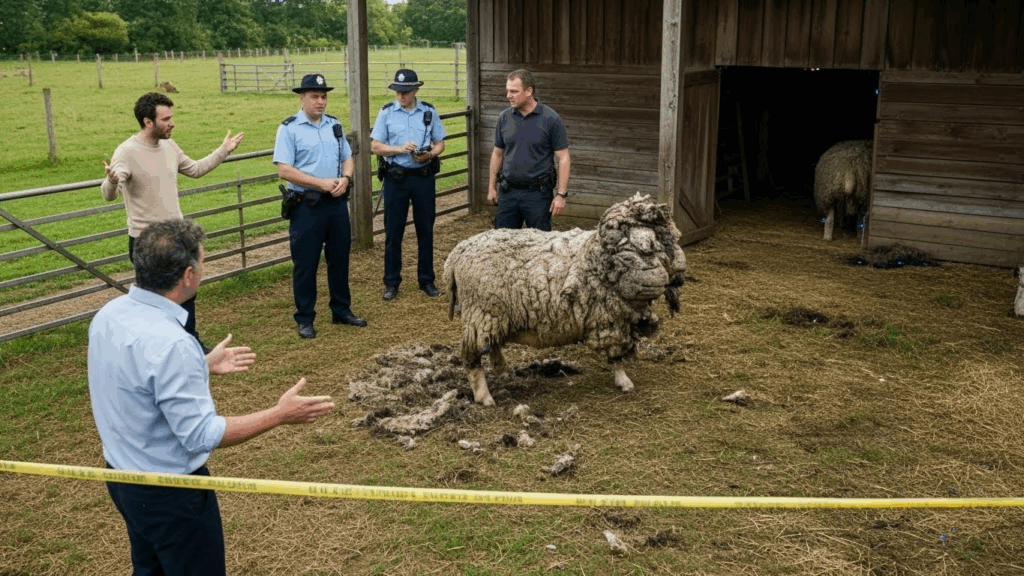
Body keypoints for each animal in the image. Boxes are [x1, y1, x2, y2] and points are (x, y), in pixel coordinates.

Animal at [443, 193, 687, 406]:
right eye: (656, 242)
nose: (680, 274)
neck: (598, 259)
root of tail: (456, 255)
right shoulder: (609, 320)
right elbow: (616, 354)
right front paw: (624, 382)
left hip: (494, 316)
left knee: (491, 344)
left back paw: (504, 371)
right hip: (481, 312)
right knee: (472, 357)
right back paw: (484, 396)